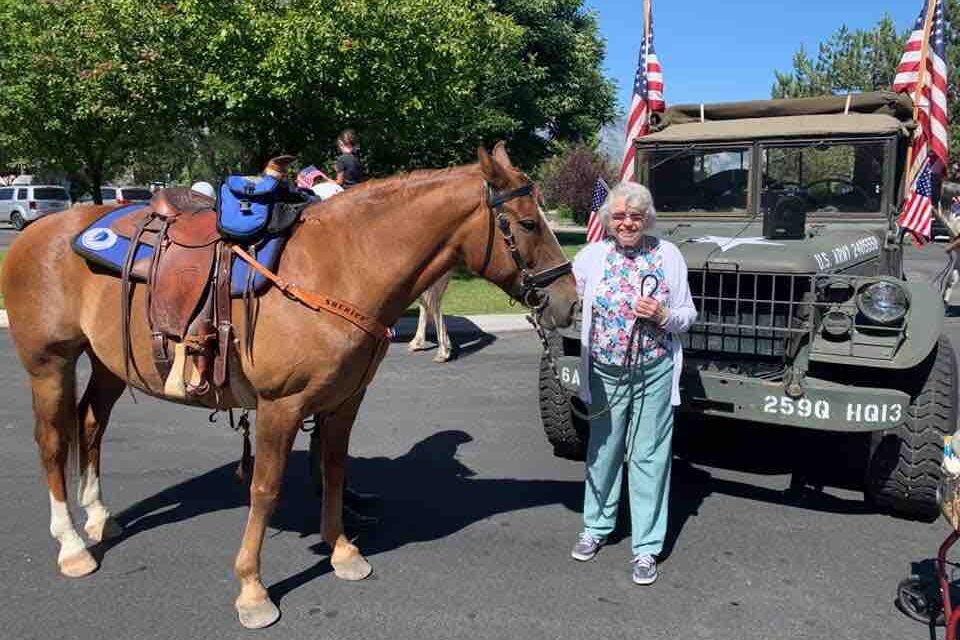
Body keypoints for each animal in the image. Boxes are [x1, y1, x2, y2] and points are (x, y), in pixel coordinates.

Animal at [1, 142, 576, 628]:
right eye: (527, 222)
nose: (569, 302)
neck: (339, 265)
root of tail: (35, 233)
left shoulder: (345, 400)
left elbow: (335, 469)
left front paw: (342, 550)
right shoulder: (280, 405)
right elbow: (266, 488)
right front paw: (252, 590)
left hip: (108, 363)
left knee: (91, 425)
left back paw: (99, 517)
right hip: (48, 363)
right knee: (53, 441)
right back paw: (73, 545)